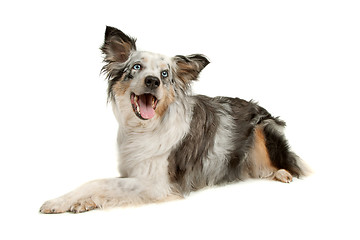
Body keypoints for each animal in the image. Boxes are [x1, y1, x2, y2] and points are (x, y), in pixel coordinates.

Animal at [40, 26, 310, 214]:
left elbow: (98, 182)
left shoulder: (156, 184)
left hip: (265, 129)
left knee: (292, 165)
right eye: (136, 67)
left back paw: (283, 173)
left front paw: (65, 201)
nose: (152, 81)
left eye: (164, 74)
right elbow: (101, 183)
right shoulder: (134, 171)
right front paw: (75, 202)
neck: (144, 128)